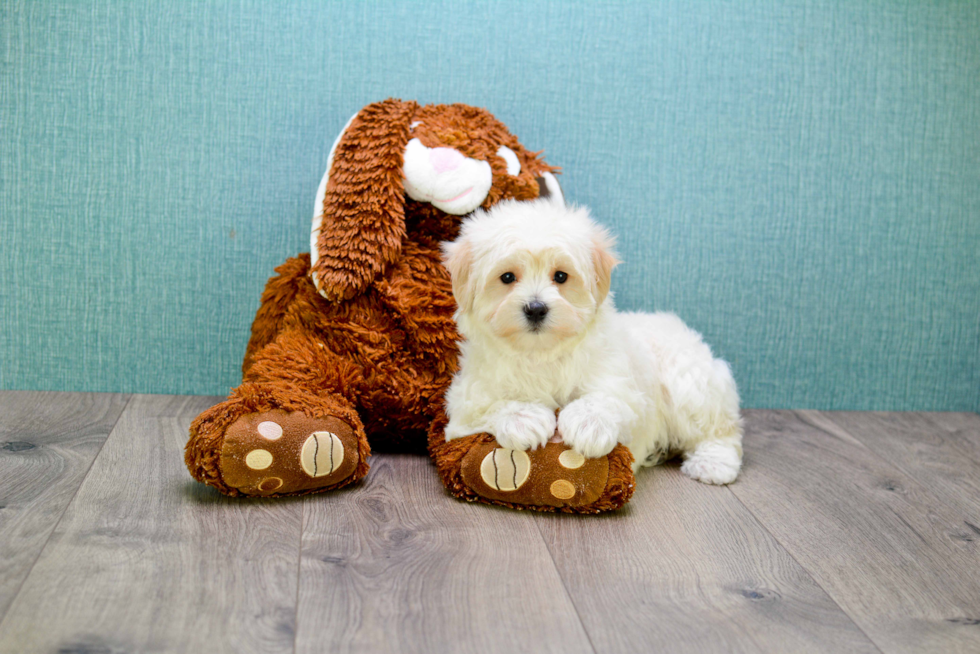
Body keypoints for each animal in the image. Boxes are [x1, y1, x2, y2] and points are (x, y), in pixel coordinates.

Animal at [440, 197, 740, 484]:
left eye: (561, 276)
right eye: (507, 277)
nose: (536, 308)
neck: (540, 353)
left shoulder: (623, 384)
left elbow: (606, 398)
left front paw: (588, 425)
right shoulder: (465, 403)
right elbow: (488, 406)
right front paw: (524, 418)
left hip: (689, 382)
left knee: (721, 429)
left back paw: (714, 463)